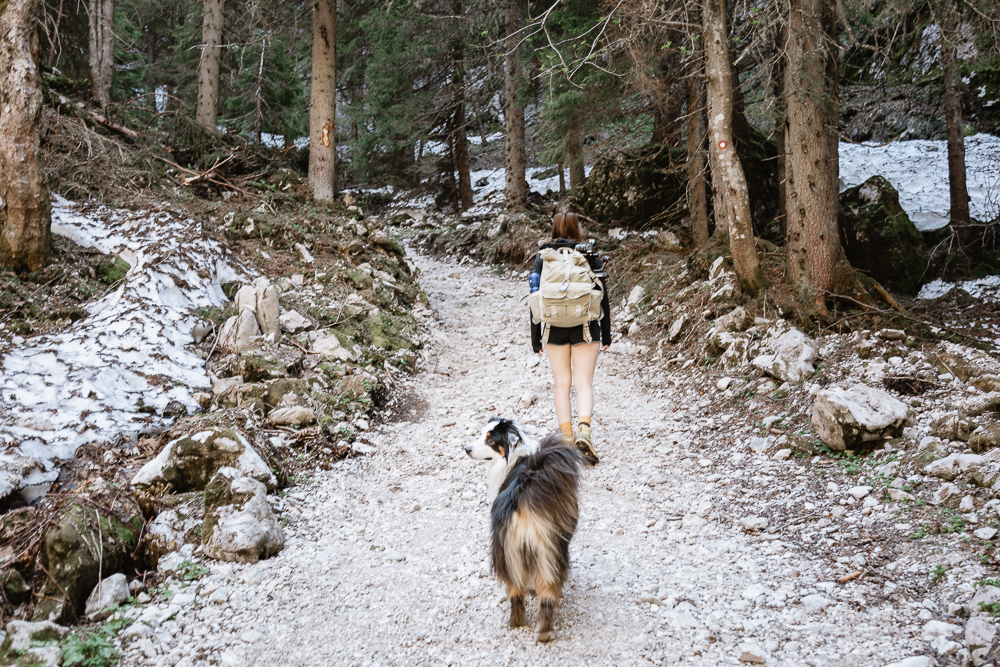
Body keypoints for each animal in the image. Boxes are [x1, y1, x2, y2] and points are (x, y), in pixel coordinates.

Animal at [464, 418, 584, 640]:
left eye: (490, 439)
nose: (466, 449)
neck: (515, 456)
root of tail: (521, 502)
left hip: (507, 550)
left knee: (515, 591)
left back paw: (518, 623)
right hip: (549, 549)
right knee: (546, 591)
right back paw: (544, 631)